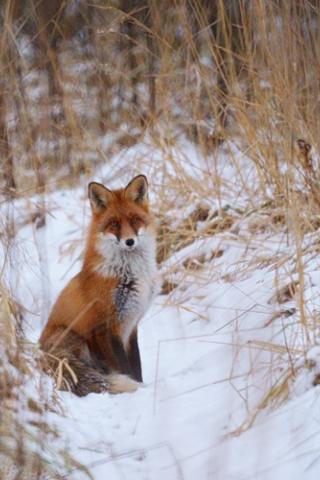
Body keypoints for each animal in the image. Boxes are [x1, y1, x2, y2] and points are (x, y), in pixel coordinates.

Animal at [40, 174, 158, 396]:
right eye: (114, 223)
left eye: (134, 219)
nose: (130, 241)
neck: (127, 274)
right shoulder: (107, 326)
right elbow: (125, 368)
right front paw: (137, 390)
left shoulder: (131, 325)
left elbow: (136, 366)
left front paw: (141, 385)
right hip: (73, 338)